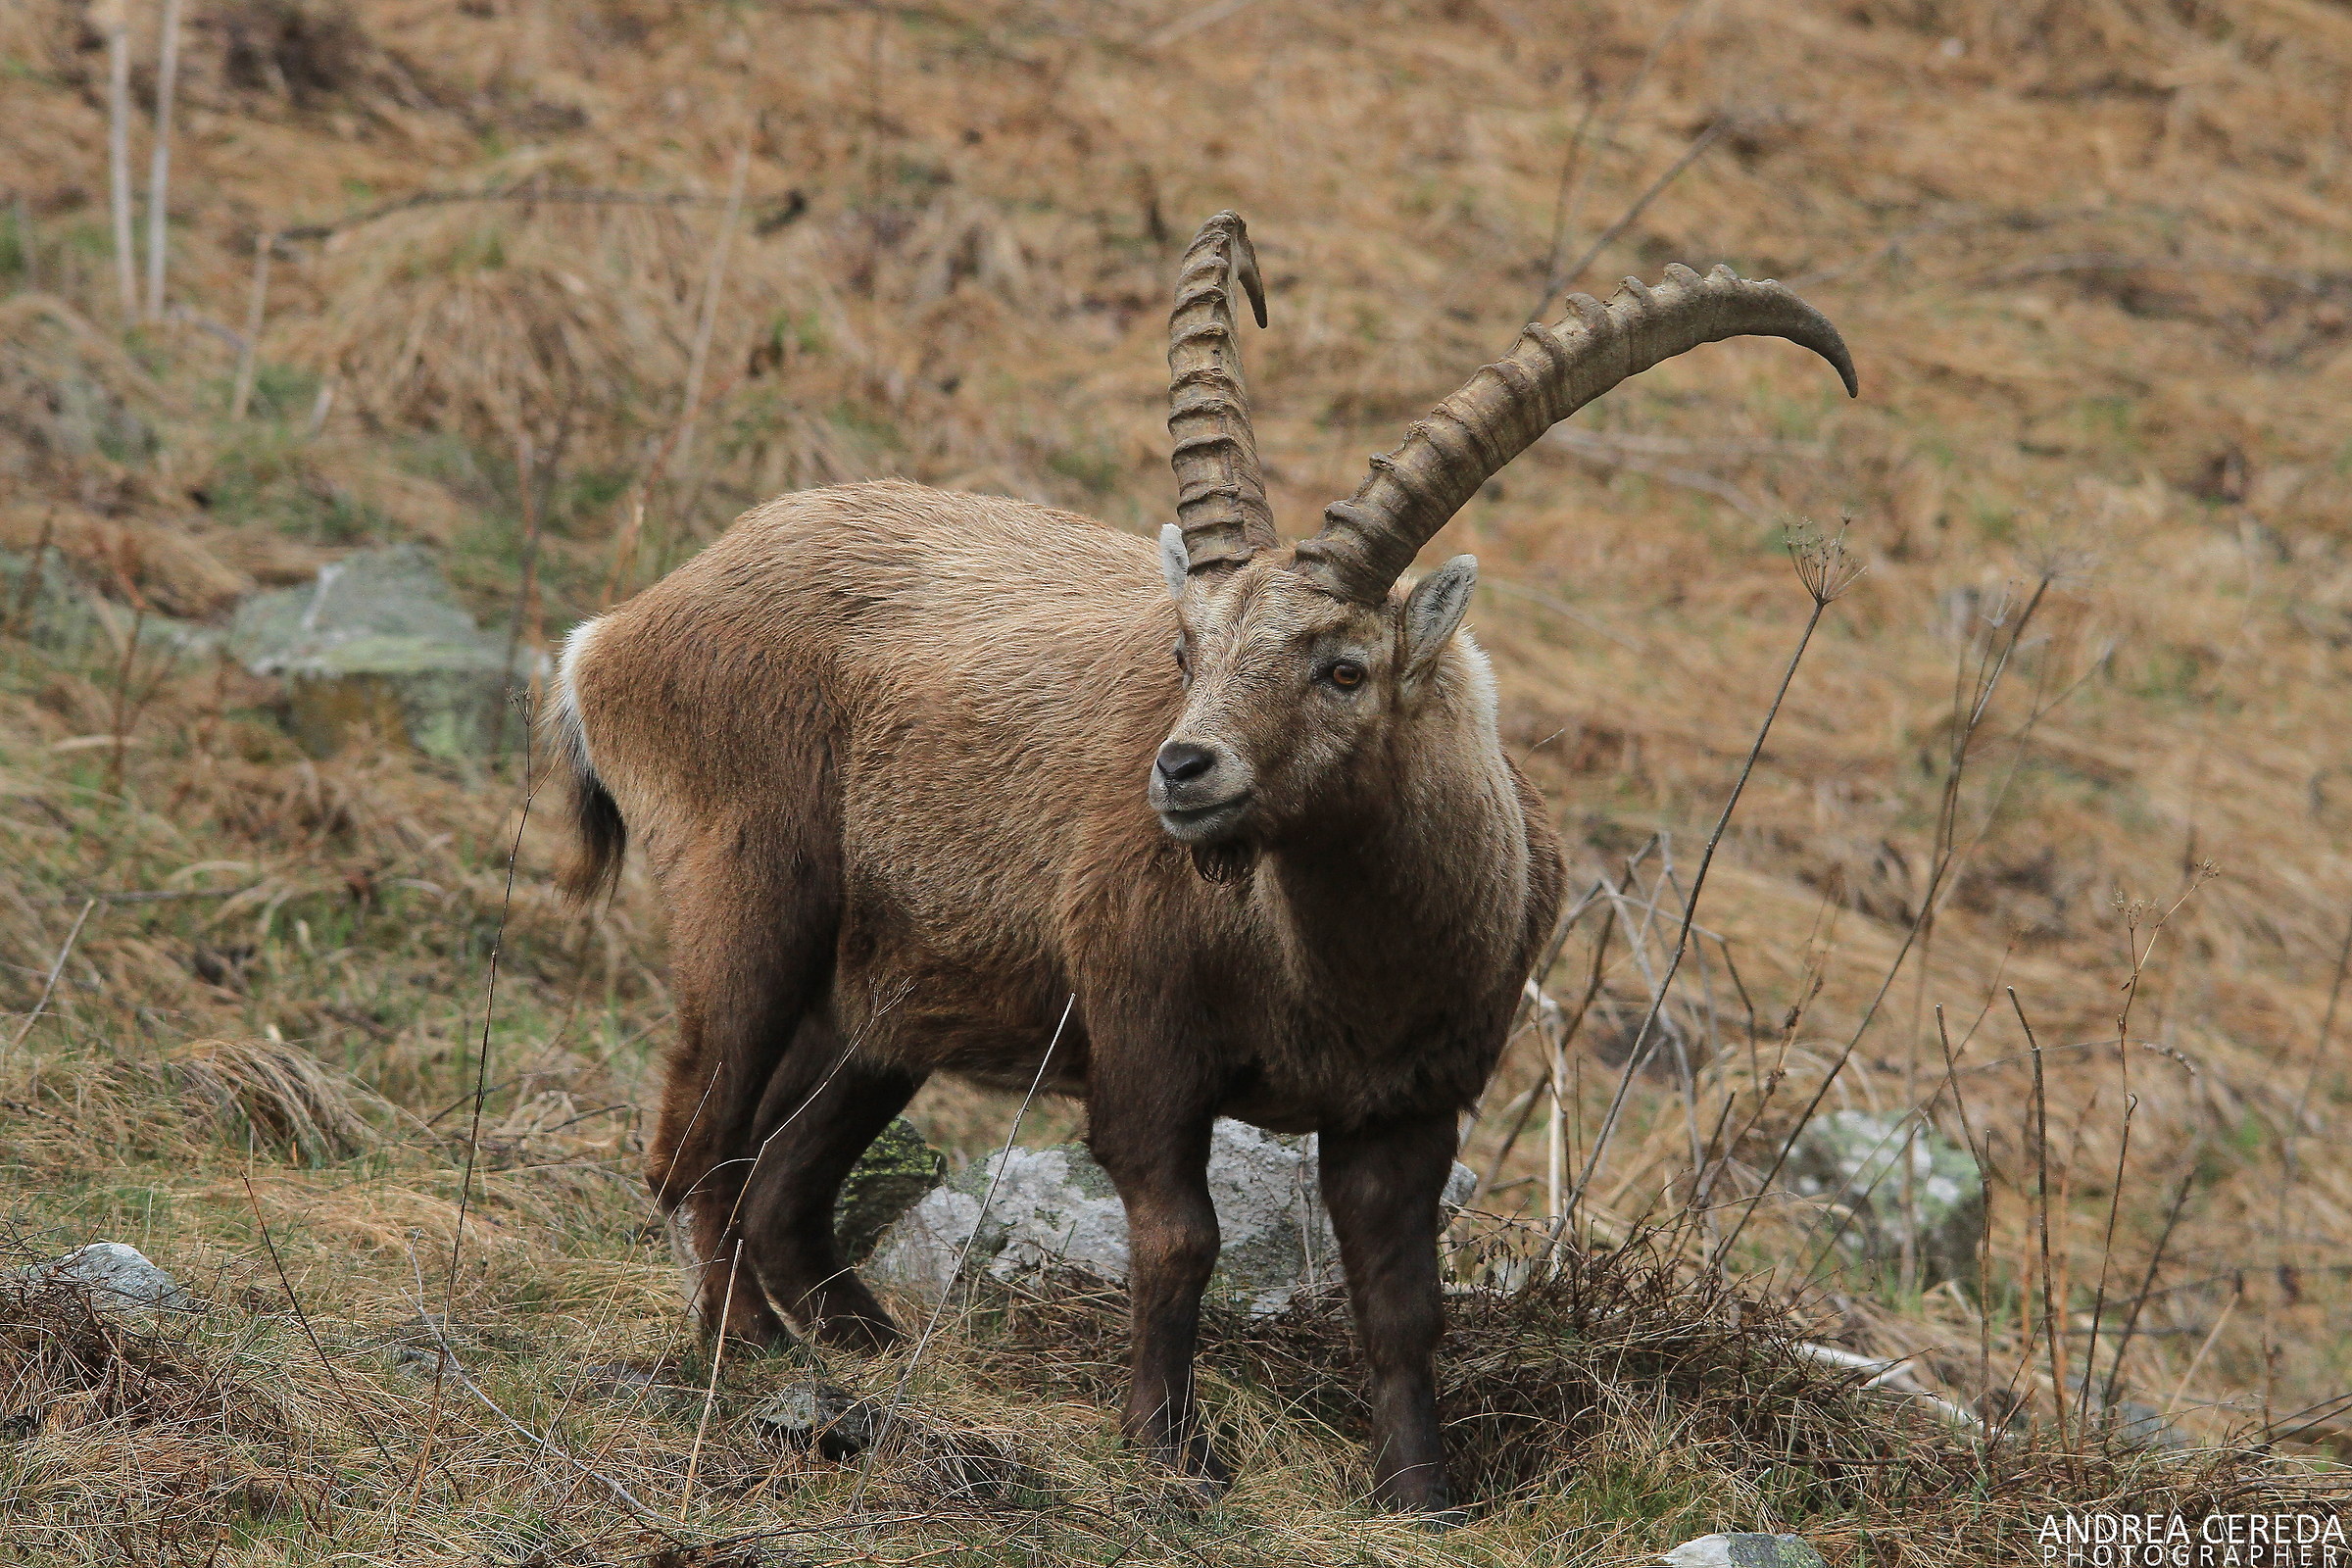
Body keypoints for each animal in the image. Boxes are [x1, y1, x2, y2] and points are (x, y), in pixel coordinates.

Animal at [550, 212, 1855, 1511]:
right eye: (1186, 650)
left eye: (1345, 668)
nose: (1181, 770)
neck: (1338, 969)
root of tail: (617, 632)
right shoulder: (1146, 1041)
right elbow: (1182, 1239)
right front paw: (1169, 1446)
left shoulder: (1411, 1103)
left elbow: (1402, 1302)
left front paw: (1420, 1491)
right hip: (750, 906)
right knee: (694, 1150)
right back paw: (740, 1352)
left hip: (887, 1001)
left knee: (783, 1180)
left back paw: (856, 1343)